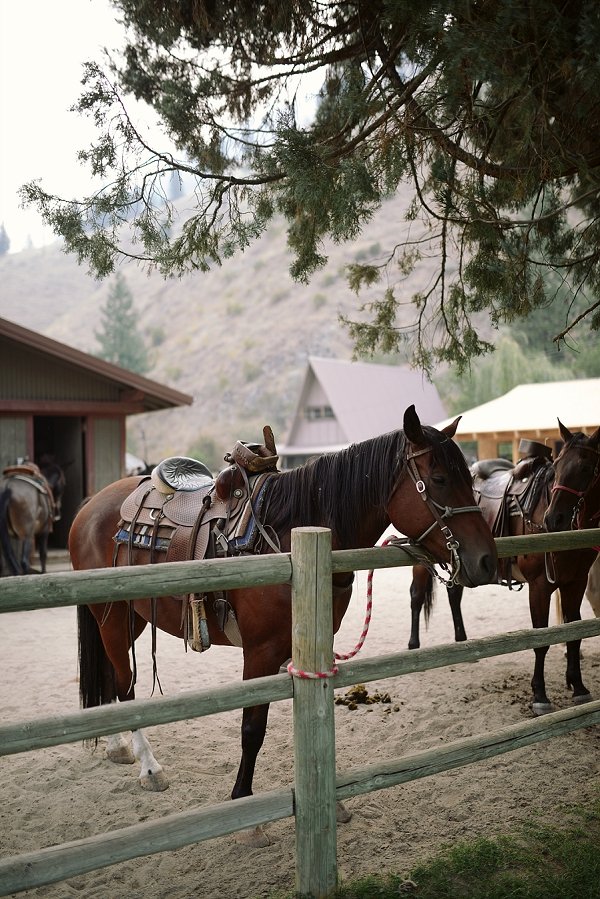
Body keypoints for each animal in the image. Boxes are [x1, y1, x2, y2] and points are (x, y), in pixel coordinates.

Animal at [69, 408, 496, 836]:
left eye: (468, 478)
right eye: (439, 479)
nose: (486, 560)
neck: (291, 537)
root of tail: (91, 505)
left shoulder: (309, 645)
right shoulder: (260, 652)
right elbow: (252, 728)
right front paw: (245, 809)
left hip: (132, 616)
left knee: (110, 675)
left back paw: (117, 747)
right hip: (111, 615)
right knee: (125, 685)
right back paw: (149, 767)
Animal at [410, 422, 600, 716]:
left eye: (586, 468)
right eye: (557, 466)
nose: (553, 519)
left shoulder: (575, 582)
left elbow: (574, 634)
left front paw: (578, 687)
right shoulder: (540, 586)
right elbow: (541, 640)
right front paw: (540, 696)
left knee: (454, 596)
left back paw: (462, 641)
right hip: (421, 562)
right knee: (417, 597)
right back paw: (414, 648)